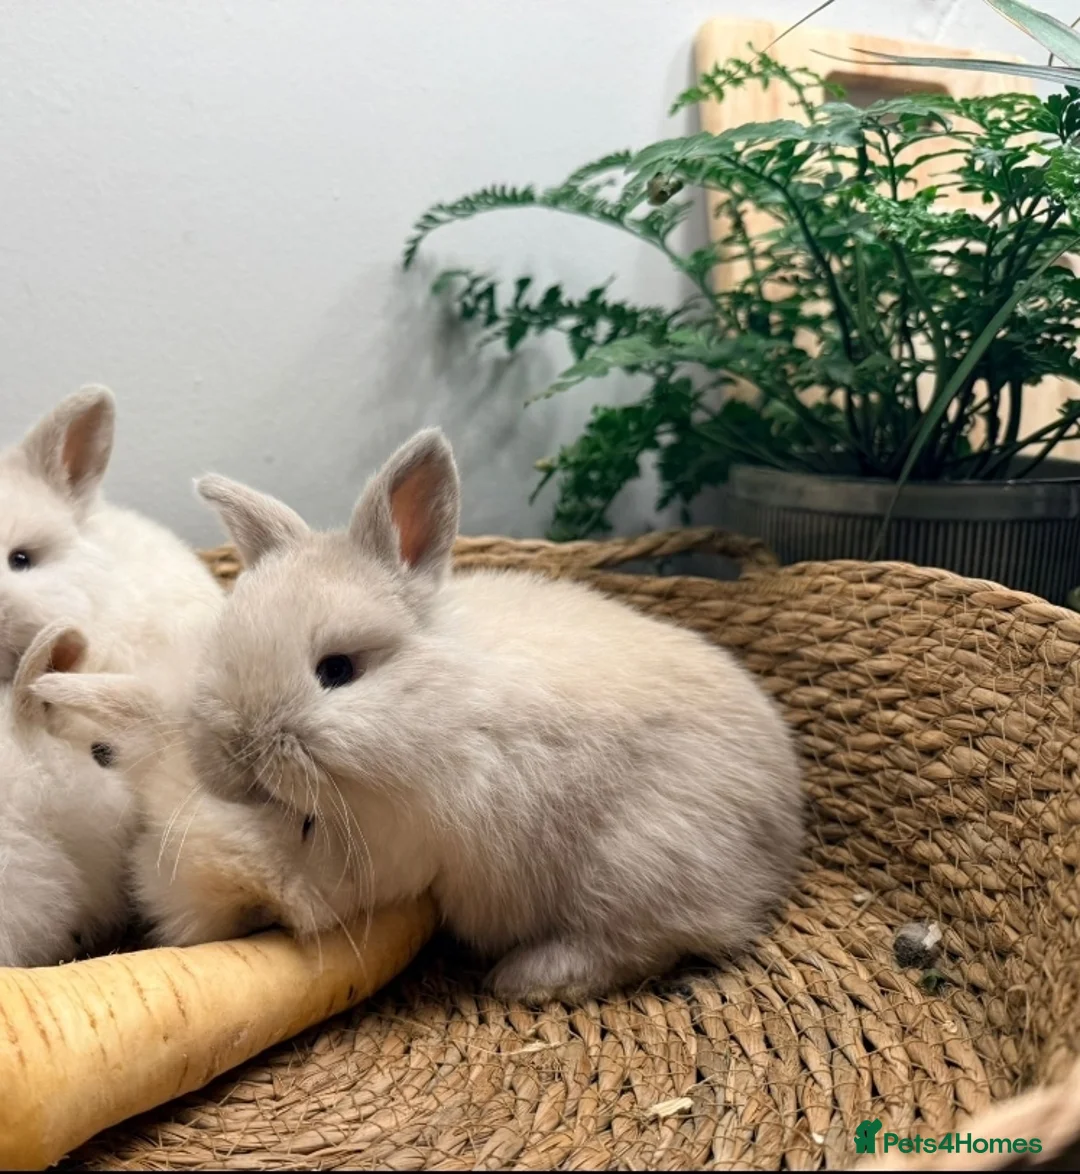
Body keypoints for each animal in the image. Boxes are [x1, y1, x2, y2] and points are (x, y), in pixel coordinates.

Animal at [165, 427, 805, 1004]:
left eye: (339, 670)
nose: (236, 747)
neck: (444, 704)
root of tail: (784, 831)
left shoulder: (400, 846)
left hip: (639, 864)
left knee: (645, 940)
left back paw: (529, 979)